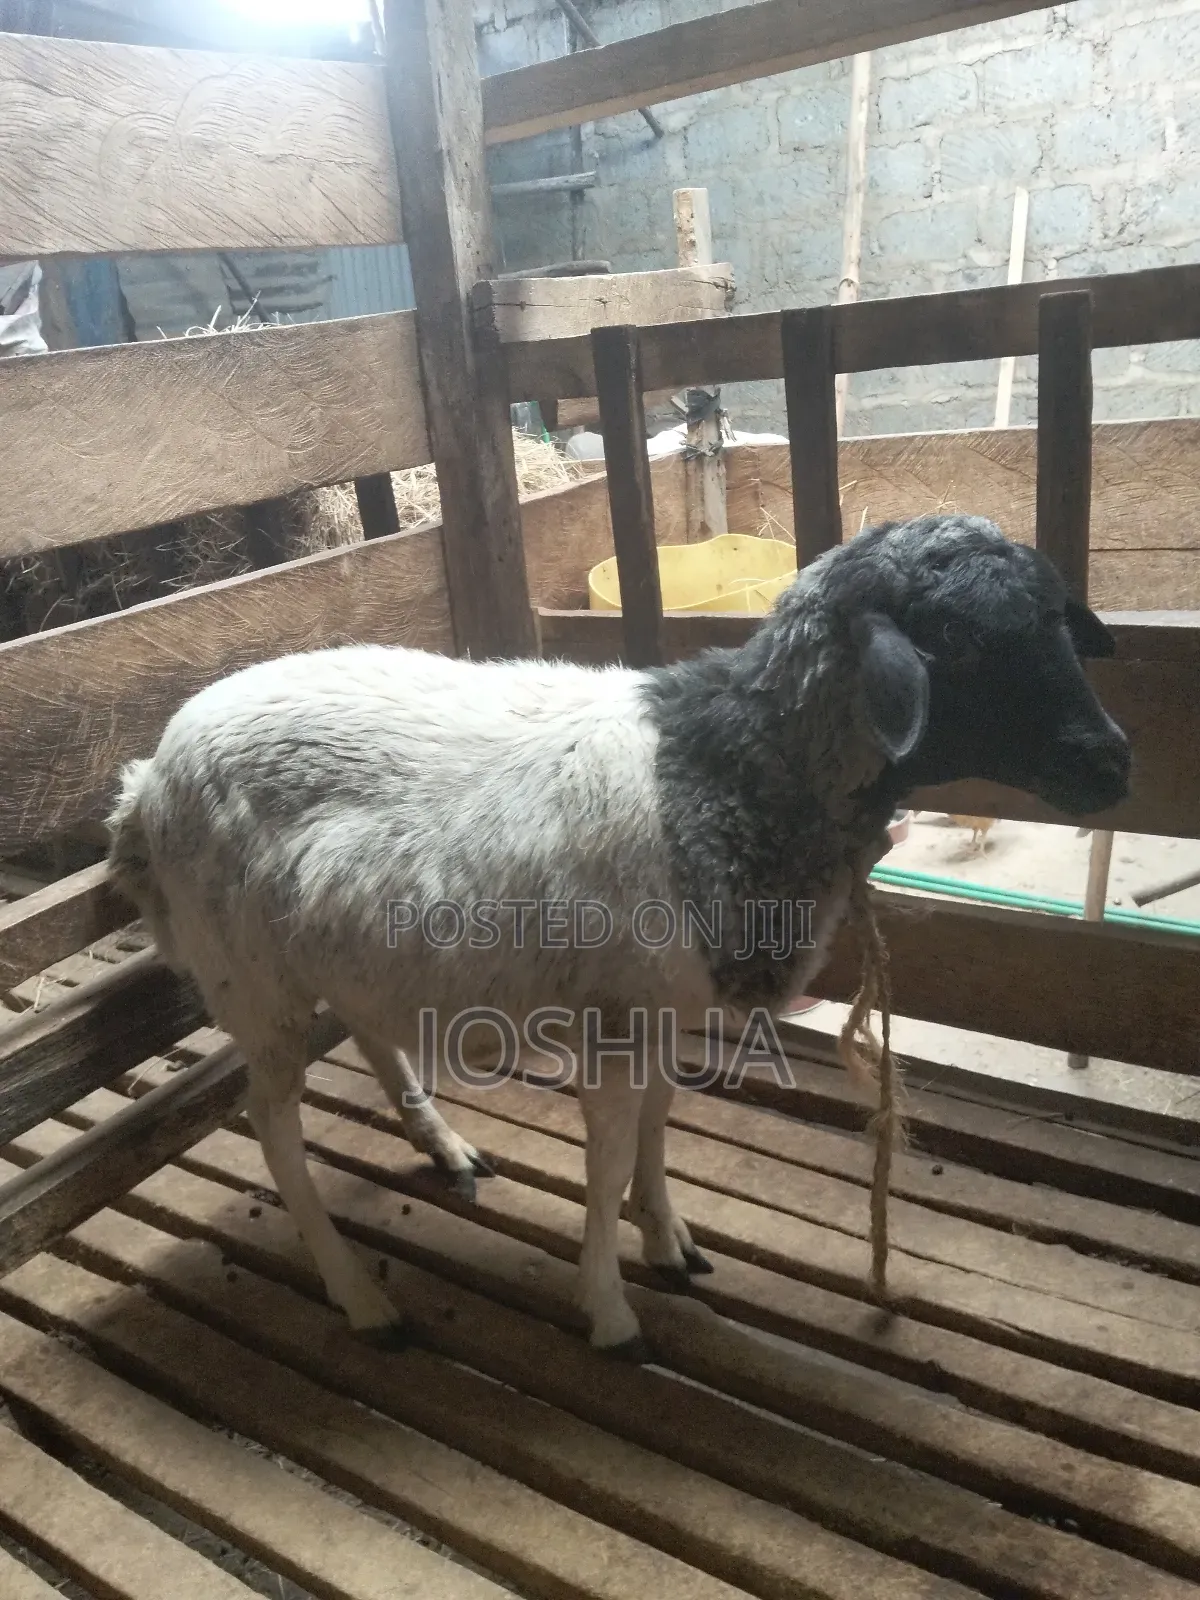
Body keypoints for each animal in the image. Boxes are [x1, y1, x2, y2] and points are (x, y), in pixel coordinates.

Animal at [106, 513, 1131, 1360]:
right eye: (956, 640)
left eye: (1056, 619)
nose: (1113, 762)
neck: (727, 772)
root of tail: (147, 778)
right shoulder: (611, 1023)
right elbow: (604, 1162)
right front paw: (609, 1311)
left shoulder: (663, 1012)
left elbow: (657, 1126)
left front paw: (668, 1238)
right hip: (253, 983)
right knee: (273, 1128)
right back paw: (360, 1297)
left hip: (334, 949)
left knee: (366, 1028)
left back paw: (443, 1145)